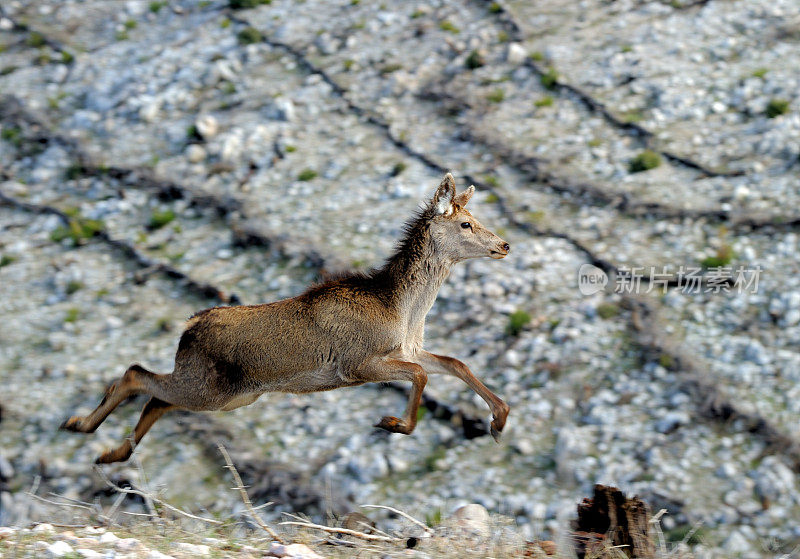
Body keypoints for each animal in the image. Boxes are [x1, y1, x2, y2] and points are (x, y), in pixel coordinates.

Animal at [62, 175, 512, 464]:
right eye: (466, 223)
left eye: (478, 219)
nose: (505, 244)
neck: (401, 311)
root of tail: (188, 328)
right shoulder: (357, 362)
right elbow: (421, 375)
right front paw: (394, 423)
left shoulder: (407, 349)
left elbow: (454, 363)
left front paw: (499, 419)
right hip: (209, 387)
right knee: (137, 374)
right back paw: (81, 426)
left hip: (227, 393)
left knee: (156, 397)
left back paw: (113, 453)